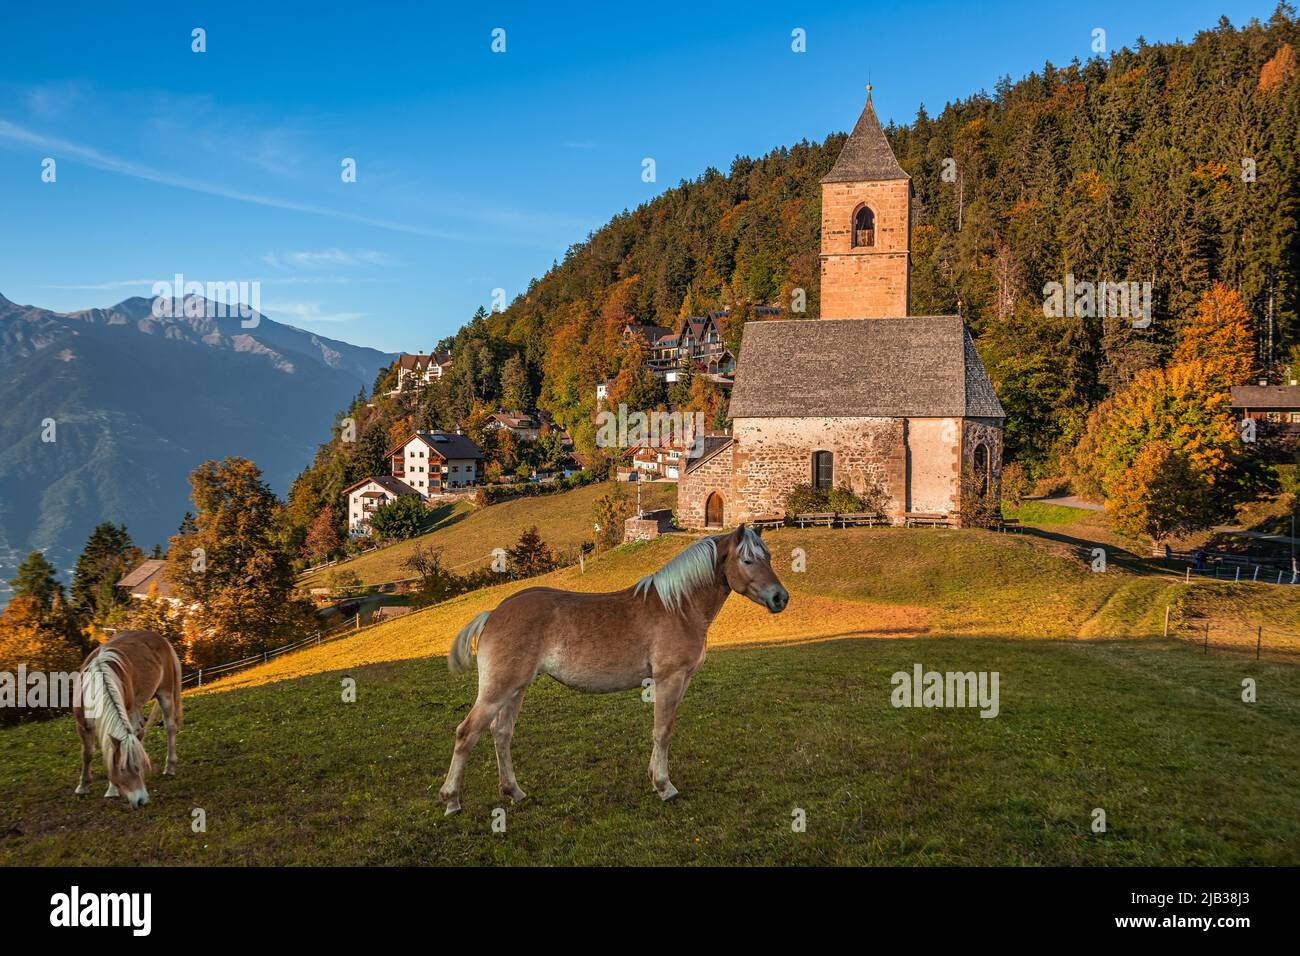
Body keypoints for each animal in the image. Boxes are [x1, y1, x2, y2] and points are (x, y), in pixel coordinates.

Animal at [73, 630, 183, 809]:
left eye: (140, 768)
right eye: (122, 769)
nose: (142, 800)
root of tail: (161, 638)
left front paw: (111, 790)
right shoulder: (82, 725)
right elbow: (87, 754)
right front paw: (82, 787)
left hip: (164, 693)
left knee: (170, 727)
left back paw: (170, 767)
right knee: (139, 730)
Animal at [438, 523, 788, 815]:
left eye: (768, 557)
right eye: (747, 560)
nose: (779, 598)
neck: (678, 606)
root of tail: (493, 614)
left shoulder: (682, 681)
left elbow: (663, 730)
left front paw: (654, 778)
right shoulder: (669, 679)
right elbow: (662, 731)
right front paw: (665, 786)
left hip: (516, 689)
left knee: (501, 734)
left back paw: (514, 791)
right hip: (498, 690)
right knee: (467, 734)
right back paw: (452, 800)